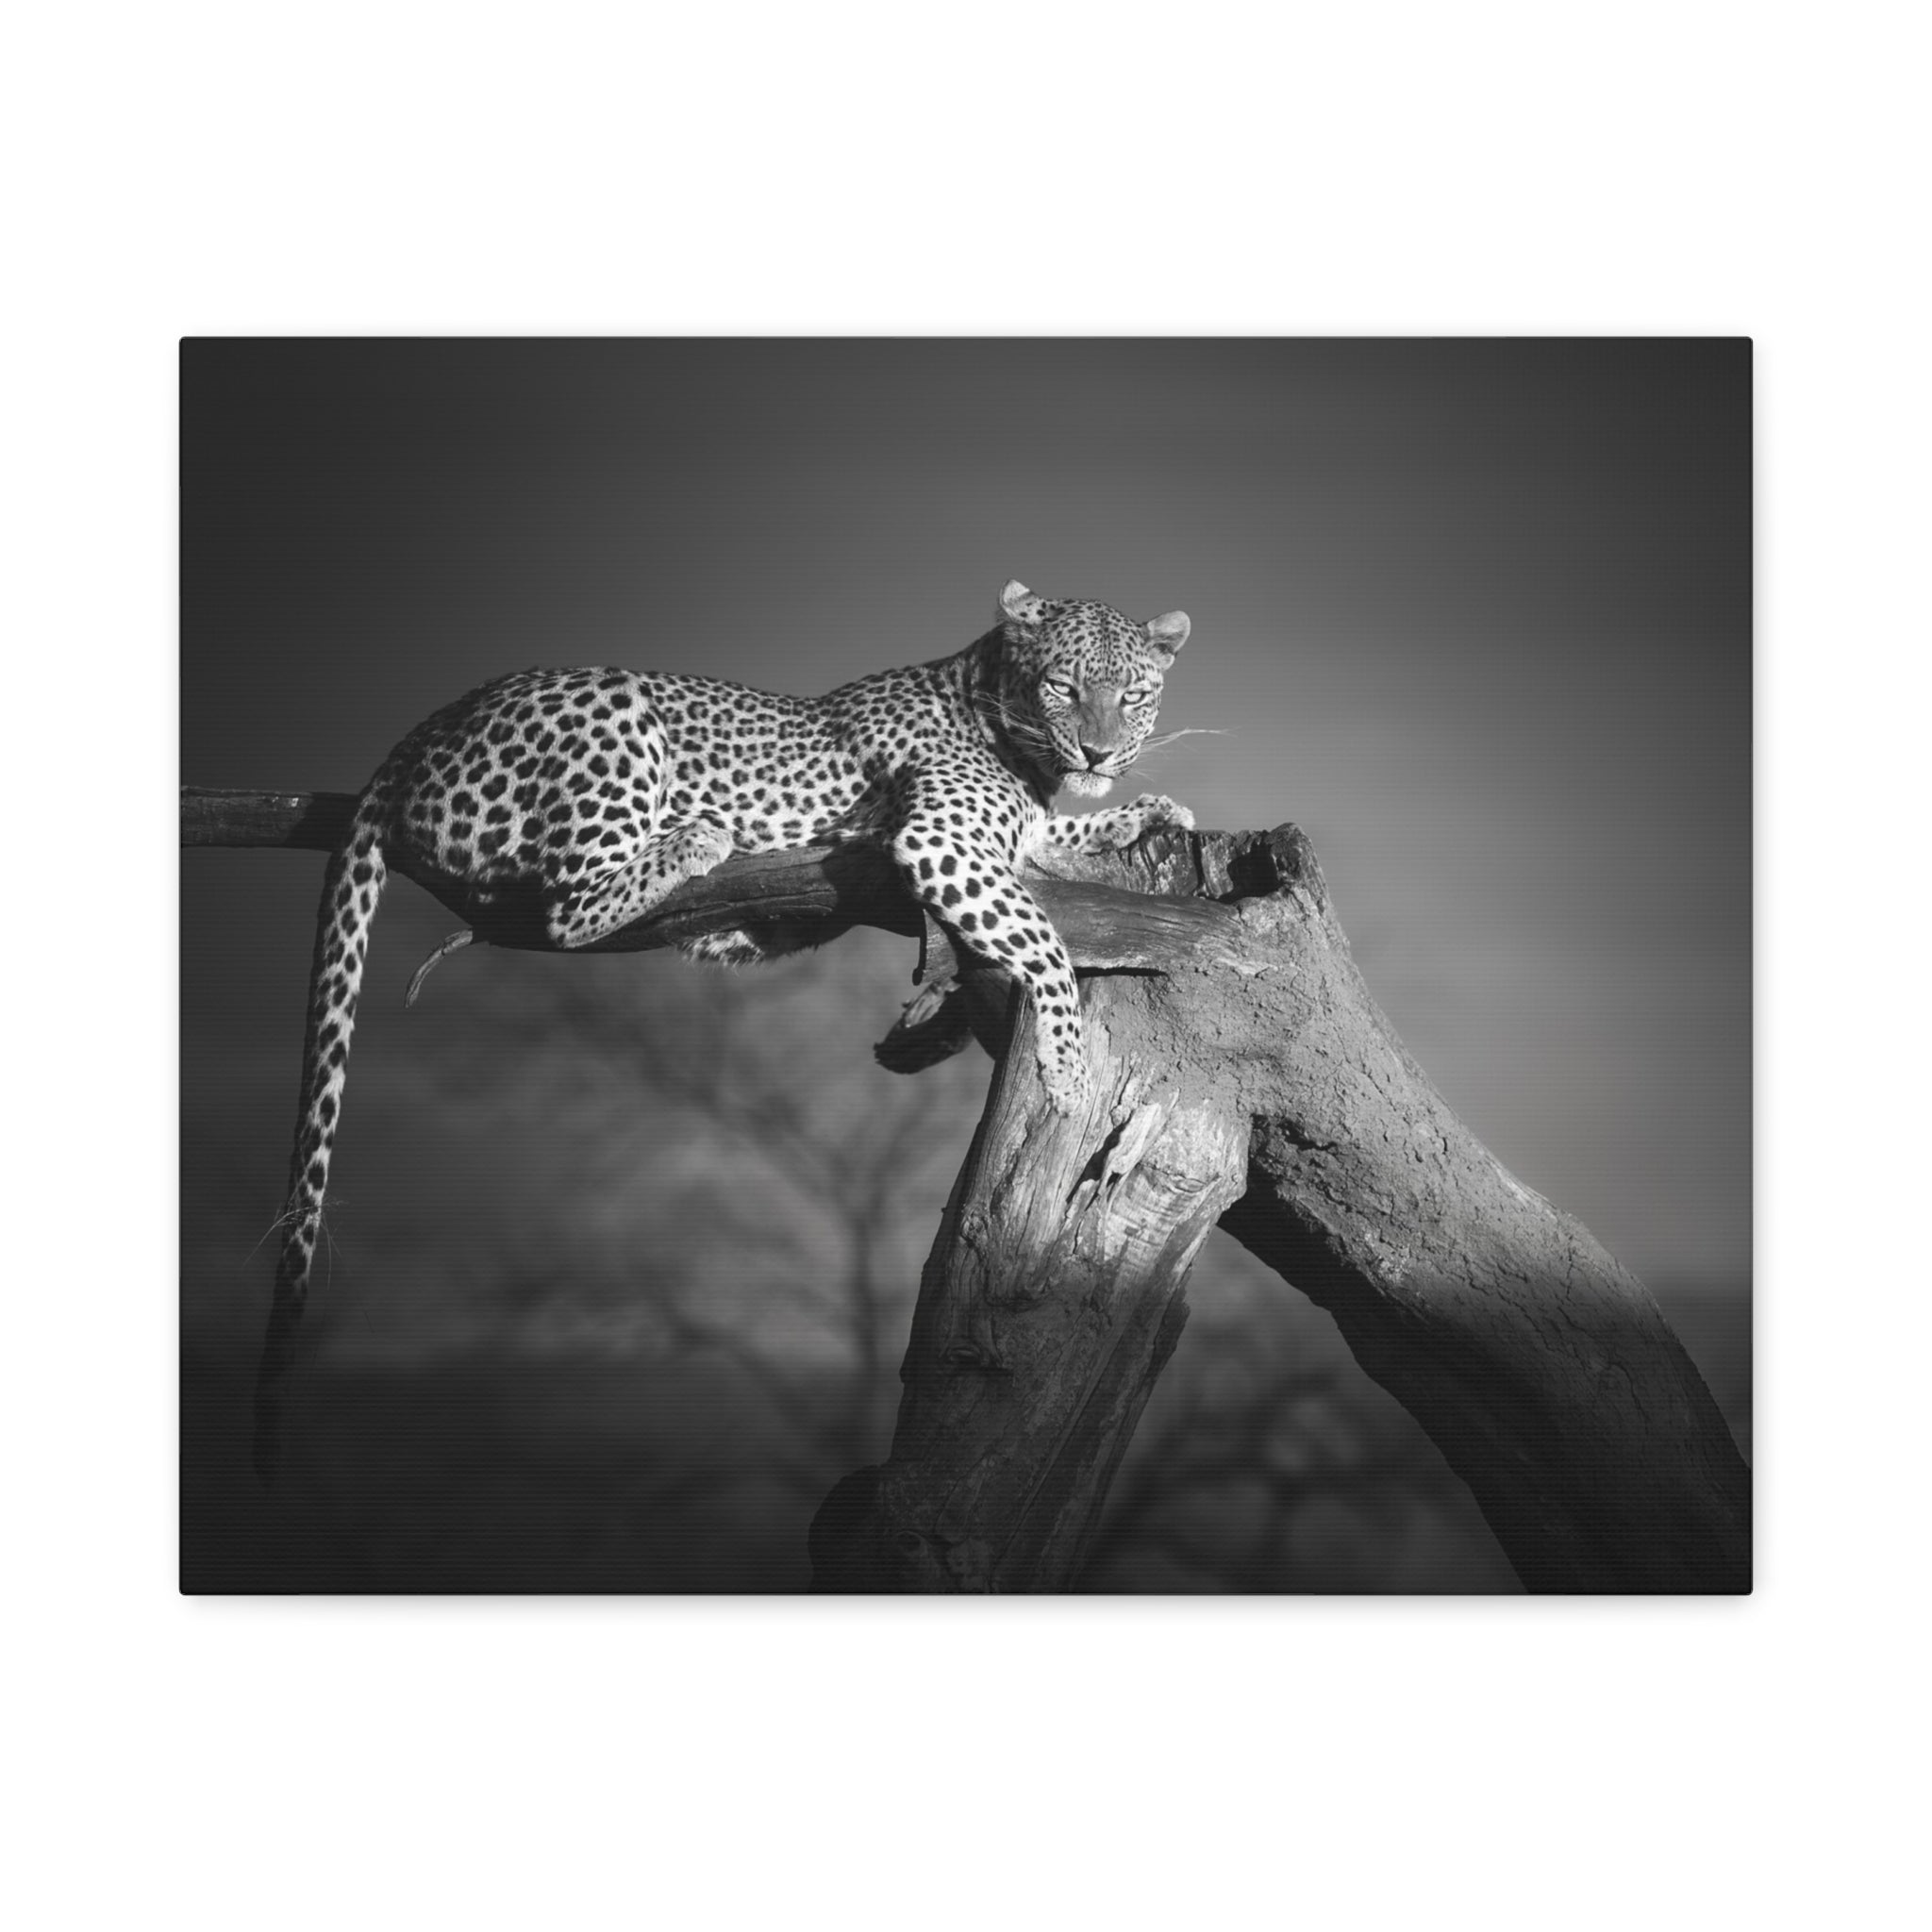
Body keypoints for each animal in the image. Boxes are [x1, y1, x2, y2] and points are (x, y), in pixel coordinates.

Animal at [253, 579, 1192, 1480]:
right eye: (1065, 687)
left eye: (1134, 695)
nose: (1100, 753)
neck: (1008, 724)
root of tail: (425, 728)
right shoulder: (942, 839)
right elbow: (1046, 939)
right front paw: (1067, 1069)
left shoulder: (1006, 839)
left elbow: (1050, 850)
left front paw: (1143, 814)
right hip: (614, 717)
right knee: (567, 906)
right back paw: (697, 837)